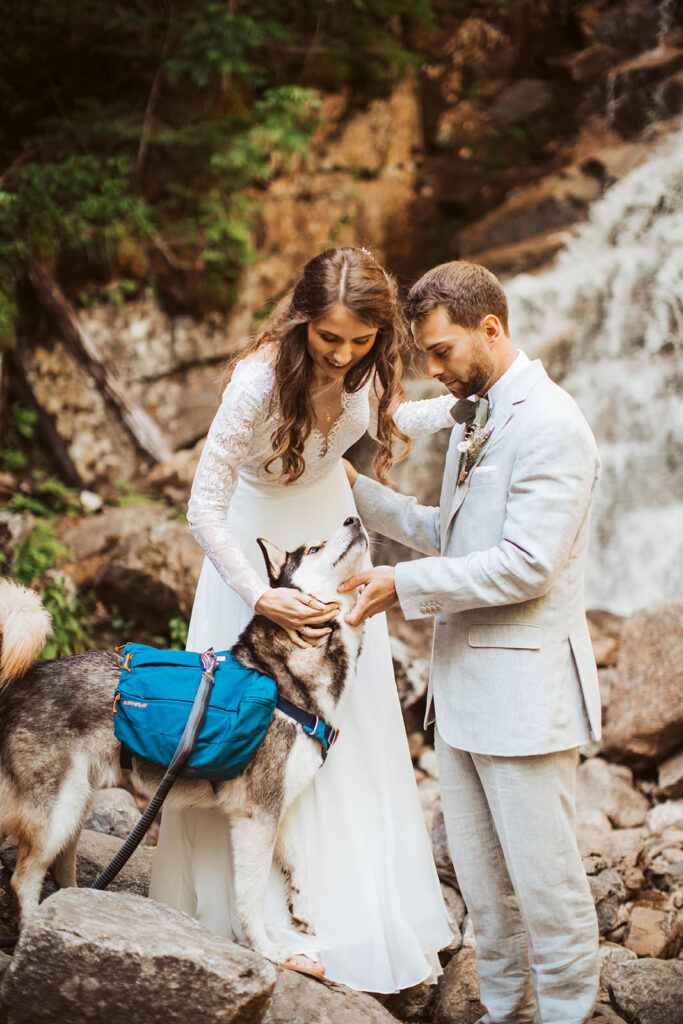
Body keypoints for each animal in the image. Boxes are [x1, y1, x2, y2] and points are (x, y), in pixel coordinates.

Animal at [0, 516, 368, 970]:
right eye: (314, 549)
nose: (353, 518)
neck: (286, 676)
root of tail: (24, 677)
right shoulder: (256, 815)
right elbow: (250, 898)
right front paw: (269, 951)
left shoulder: (273, 809)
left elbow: (297, 862)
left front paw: (301, 911)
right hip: (57, 812)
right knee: (23, 877)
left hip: (74, 805)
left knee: (58, 867)